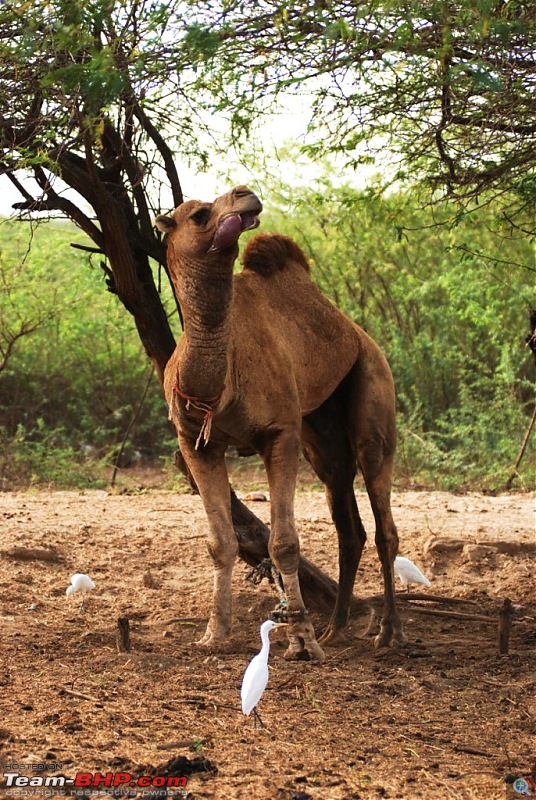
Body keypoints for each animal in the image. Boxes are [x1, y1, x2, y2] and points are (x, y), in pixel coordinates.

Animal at [154, 184, 402, 660]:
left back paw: (388, 633)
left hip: (371, 386)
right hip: (320, 435)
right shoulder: (196, 442)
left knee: (384, 523)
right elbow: (221, 542)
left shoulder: (279, 435)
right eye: (198, 215)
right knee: (350, 526)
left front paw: (301, 641)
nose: (244, 194)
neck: (220, 382)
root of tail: (356, 331)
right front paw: (213, 633)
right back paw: (336, 629)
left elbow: (284, 542)